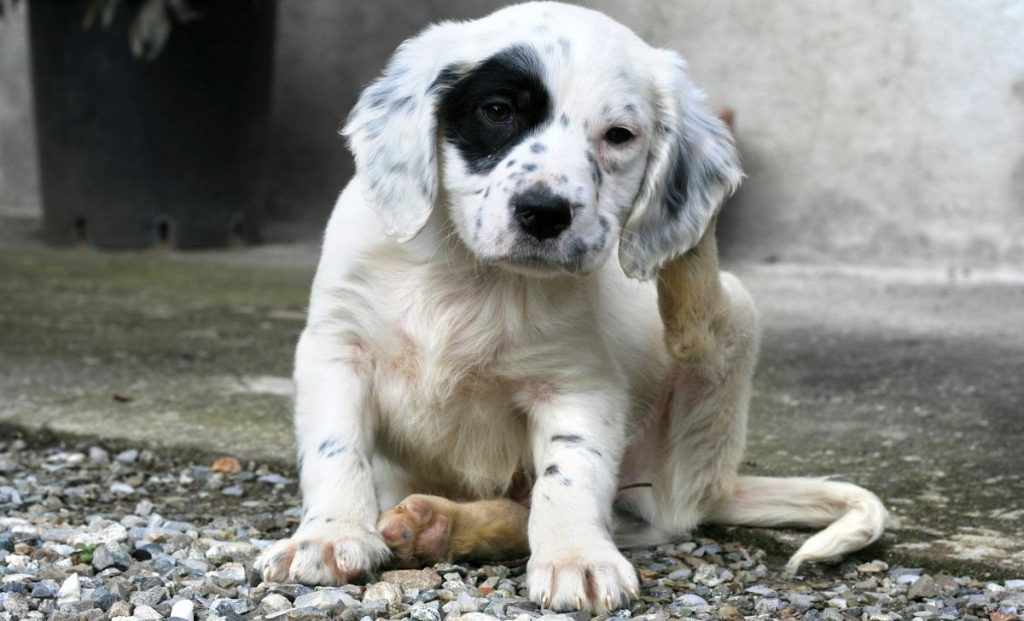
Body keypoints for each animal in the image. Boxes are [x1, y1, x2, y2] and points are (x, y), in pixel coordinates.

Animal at [253, 1, 880, 614]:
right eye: (498, 110)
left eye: (619, 135)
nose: (545, 212)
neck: (473, 275)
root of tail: (718, 485)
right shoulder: (337, 350)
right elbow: (337, 449)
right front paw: (330, 536)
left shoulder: (577, 384)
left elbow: (570, 474)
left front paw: (577, 558)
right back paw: (435, 526)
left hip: (709, 377)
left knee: (689, 361)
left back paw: (689, 257)